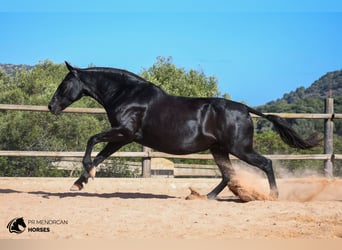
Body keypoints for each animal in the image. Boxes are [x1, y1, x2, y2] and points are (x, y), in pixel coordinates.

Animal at [47, 62, 318, 199]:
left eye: (64, 84)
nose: (51, 106)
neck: (127, 94)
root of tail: (244, 109)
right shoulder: (123, 137)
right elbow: (101, 156)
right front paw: (80, 183)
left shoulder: (124, 132)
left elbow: (92, 141)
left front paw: (84, 177)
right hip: (219, 150)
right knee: (228, 175)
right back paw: (204, 197)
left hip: (240, 148)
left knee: (266, 164)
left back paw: (273, 196)